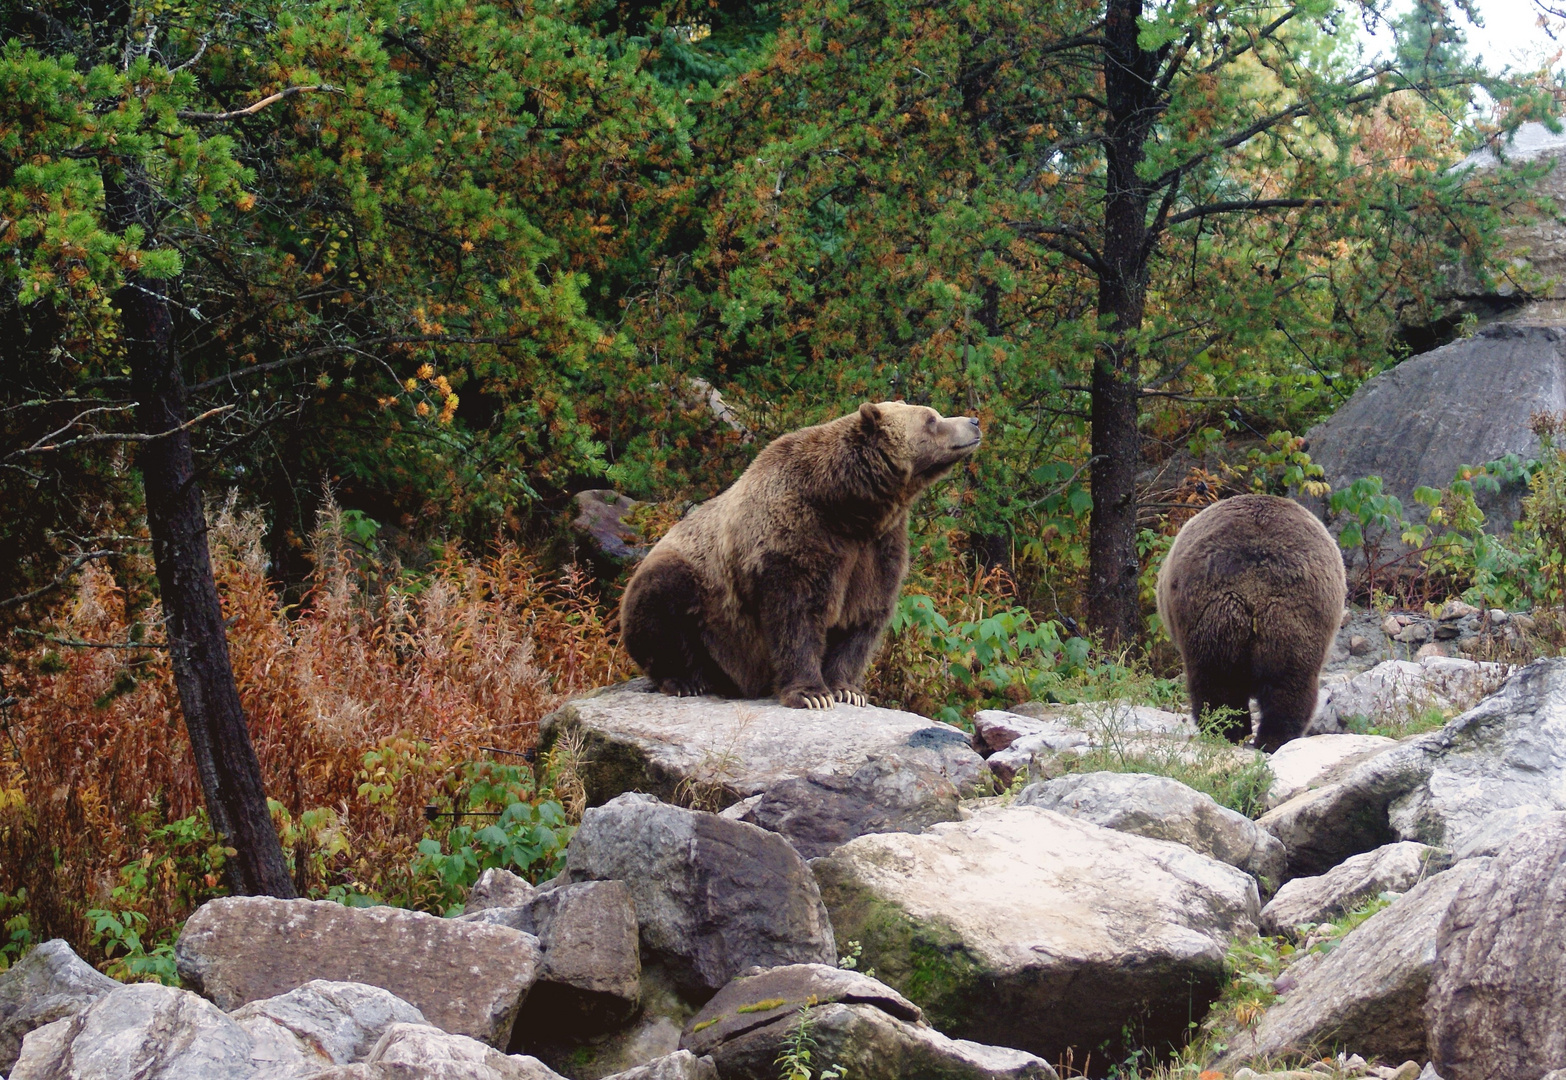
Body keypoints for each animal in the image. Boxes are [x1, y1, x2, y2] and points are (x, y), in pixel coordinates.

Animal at [1158, 491, 1340, 748]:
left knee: (1224, 681)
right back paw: (1260, 736)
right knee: (1279, 682)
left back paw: (1235, 732)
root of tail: (1255, 584)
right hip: (1287, 614)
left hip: (1226, 614)